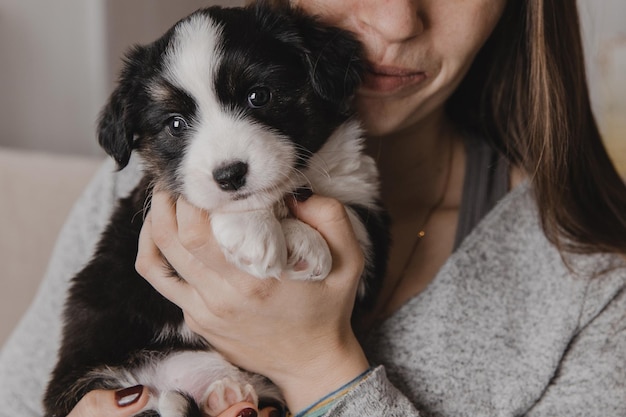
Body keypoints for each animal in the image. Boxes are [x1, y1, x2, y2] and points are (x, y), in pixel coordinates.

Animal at [44, 3, 388, 416]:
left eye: (259, 96)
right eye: (176, 124)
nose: (229, 175)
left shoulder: (366, 216)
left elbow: (350, 216)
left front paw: (302, 242)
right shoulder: (151, 222)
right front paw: (259, 234)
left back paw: (226, 392)